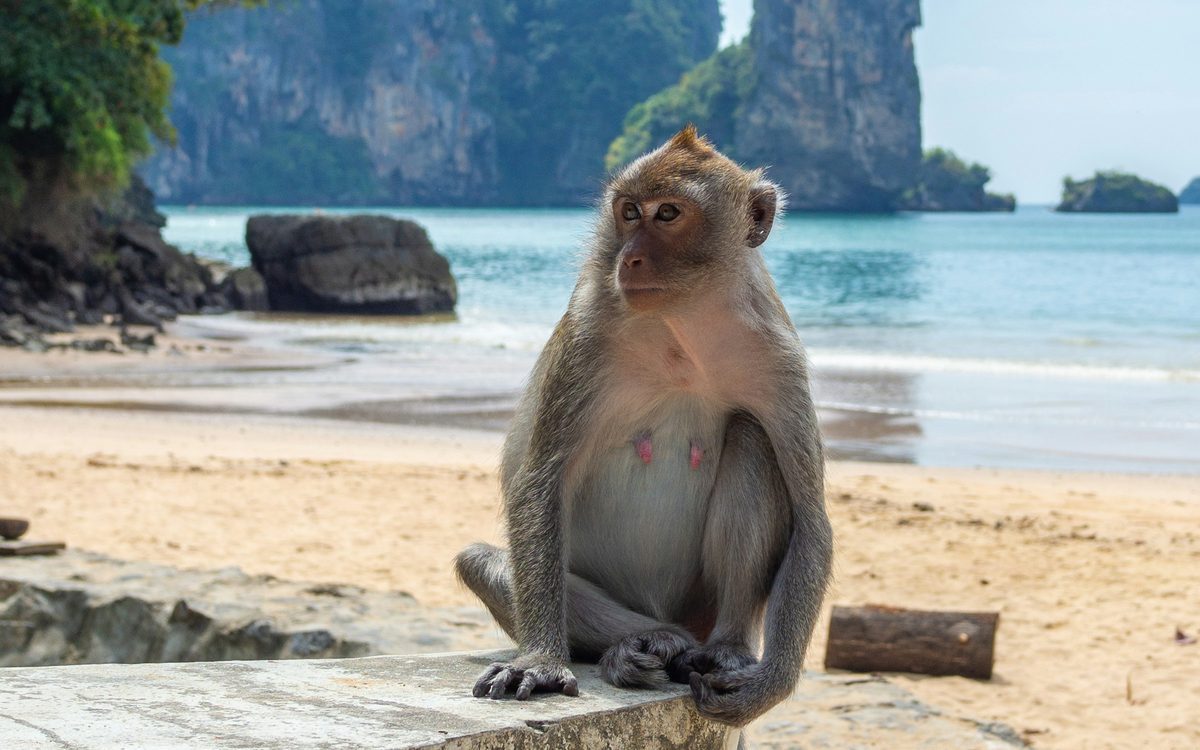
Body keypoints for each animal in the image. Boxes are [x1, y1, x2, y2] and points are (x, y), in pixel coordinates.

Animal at [454, 126, 833, 728]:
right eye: (630, 212)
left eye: (668, 213)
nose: (629, 258)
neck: (683, 323)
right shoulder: (587, 338)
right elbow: (541, 481)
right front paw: (541, 659)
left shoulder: (779, 358)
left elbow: (812, 518)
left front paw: (770, 683)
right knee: (482, 561)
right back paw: (647, 644)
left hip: (705, 603)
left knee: (751, 437)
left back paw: (721, 647)